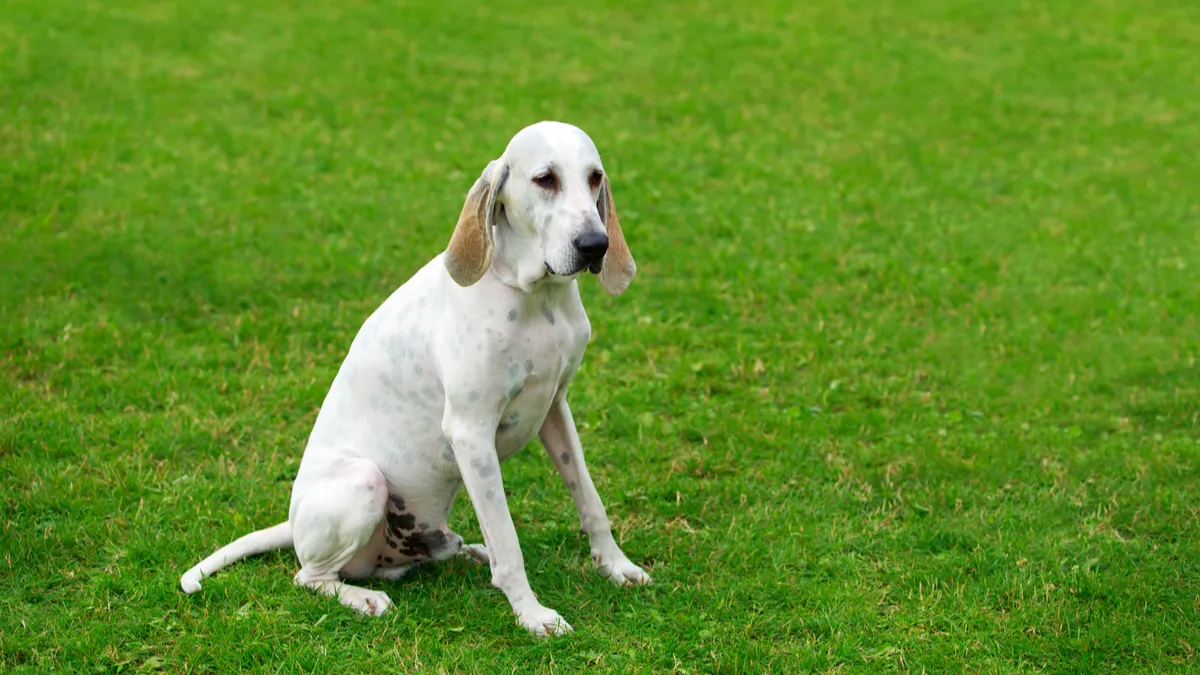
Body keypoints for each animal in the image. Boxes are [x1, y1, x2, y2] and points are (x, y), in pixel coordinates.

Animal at [180, 119, 657, 629]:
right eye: (545, 179)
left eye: (595, 178)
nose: (595, 245)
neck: (535, 298)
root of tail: (291, 523)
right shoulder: (470, 433)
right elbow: (509, 542)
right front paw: (531, 614)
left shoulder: (555, 408)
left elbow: (589, 499)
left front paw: (616, 565)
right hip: (364, 482)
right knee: (309, 576)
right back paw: (363, 598)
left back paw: (466, 552)